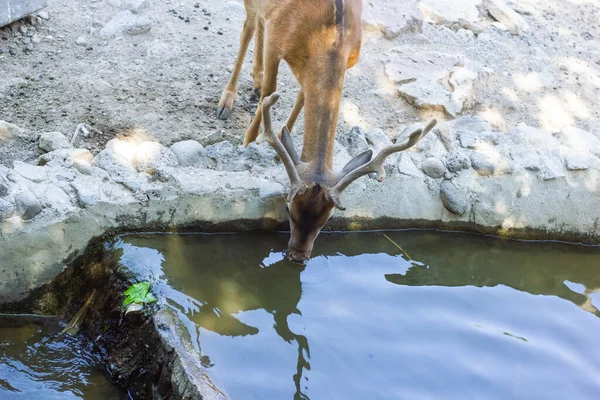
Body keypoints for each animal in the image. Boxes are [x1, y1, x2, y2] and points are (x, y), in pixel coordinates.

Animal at [216, 0, 436, 262]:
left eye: (328, 218)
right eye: (288, 208)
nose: (298, 256)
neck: (325, 38)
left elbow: (302, 95)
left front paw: (283, 136)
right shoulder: (276, 39)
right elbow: (270, 91)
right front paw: (250, 140)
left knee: (257, 25)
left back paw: (255, 79)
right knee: (248, 27)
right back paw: (226, 103)